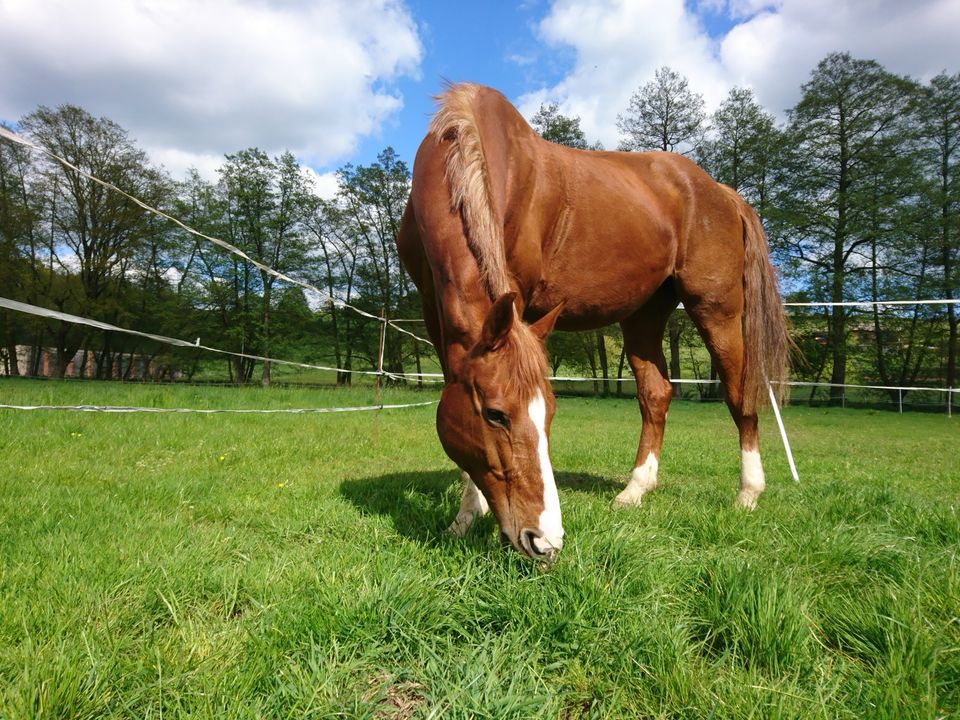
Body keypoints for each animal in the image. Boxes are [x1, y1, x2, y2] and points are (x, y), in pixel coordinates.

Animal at [398, 83, 788, 556]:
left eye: (549, 413)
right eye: (494, 414)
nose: (544, 539)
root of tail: (718, 190)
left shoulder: (516, 295)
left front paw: (470, 514)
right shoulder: (432, 306)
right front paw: (467, 515)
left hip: (716, 308)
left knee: (738, 392)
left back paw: (748, 493)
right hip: (644, 316)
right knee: (655, 394)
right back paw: (635, 490)